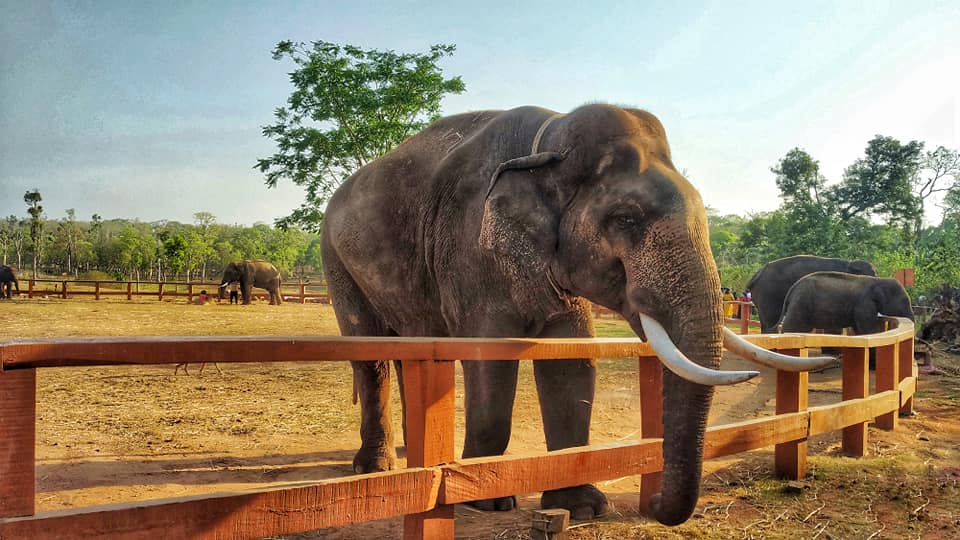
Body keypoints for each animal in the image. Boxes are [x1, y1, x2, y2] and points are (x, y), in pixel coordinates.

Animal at [320, 104, 830, 525]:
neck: (549, 139)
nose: (654, 503)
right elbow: (490, 358)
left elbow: (572, 361)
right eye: (625, 219)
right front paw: (487, 500)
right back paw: (377, 465)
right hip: (336, 260)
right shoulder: (469, 248)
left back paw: (414, 453)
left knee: (409, 346)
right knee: (371, 356)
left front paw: (582, 507)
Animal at [746, 255, 877, 333]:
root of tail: (756, 274)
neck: (850, 263)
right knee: (771, 322)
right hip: (769, 295)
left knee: (765, 322)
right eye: (873, 275)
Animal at [778, 272, 914, 334]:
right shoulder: (864, 304)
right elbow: (867, 329)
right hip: (800, 303)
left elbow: (858, 329)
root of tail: (793, 288)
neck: (878, 280)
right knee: (792, 326)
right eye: (904, 301)